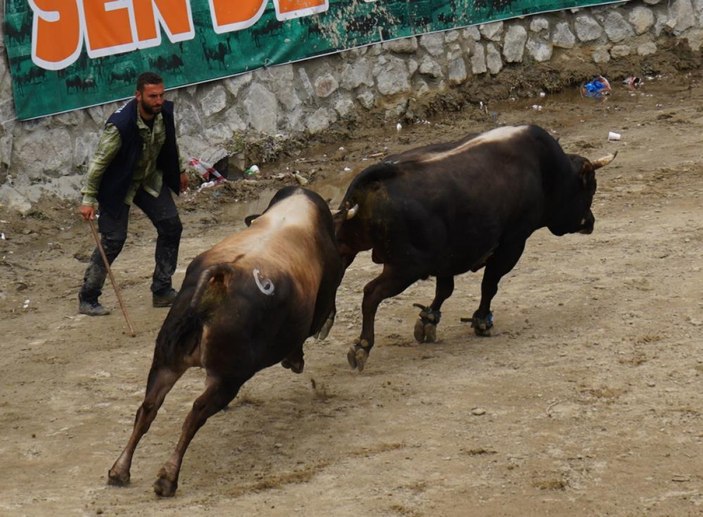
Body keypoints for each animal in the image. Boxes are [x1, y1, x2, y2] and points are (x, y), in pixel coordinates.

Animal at [106, 186, 344, 496]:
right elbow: (310, 328)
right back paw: (167, 478)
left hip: (166, 362)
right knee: (195, 413)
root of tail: (219, 281)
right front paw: (295, 360)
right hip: (228, 378)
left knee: (148, 408)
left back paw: (120, 470)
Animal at [332, 125, 612, 370]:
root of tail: (376, 178)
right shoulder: (512, 243)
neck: (546, 171)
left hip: (347, 248)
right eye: (590, 188)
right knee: (371, 294)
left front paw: (429, 319)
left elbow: (445, 289)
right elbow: (489, 284)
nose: (590, 222)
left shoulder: (448, 256)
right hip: (406, 267)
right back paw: (362, 346)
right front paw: (482, 321)